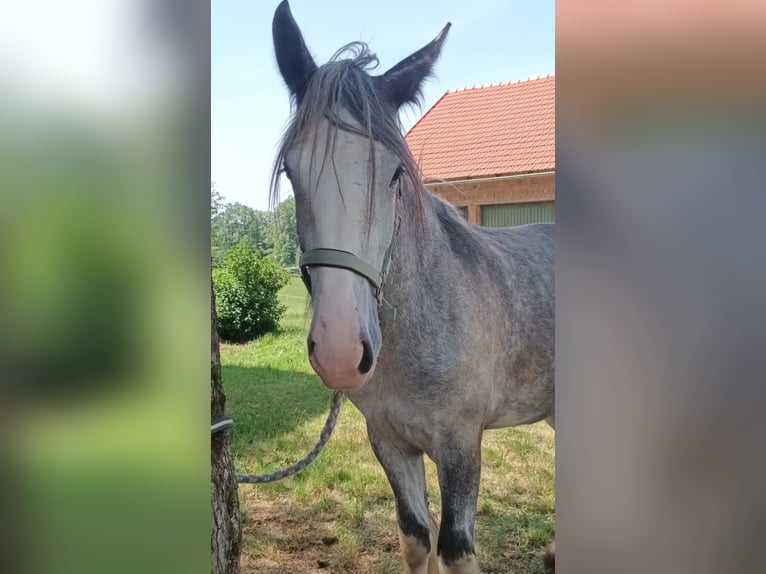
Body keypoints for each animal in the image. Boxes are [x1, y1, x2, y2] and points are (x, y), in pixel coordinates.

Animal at [270, 2, 555, 572]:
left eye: (396, 174)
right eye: (292, 171)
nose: (339, 350)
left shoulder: (461, 446)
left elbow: (455, 550)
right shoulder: (390, 441)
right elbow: (415, 537)